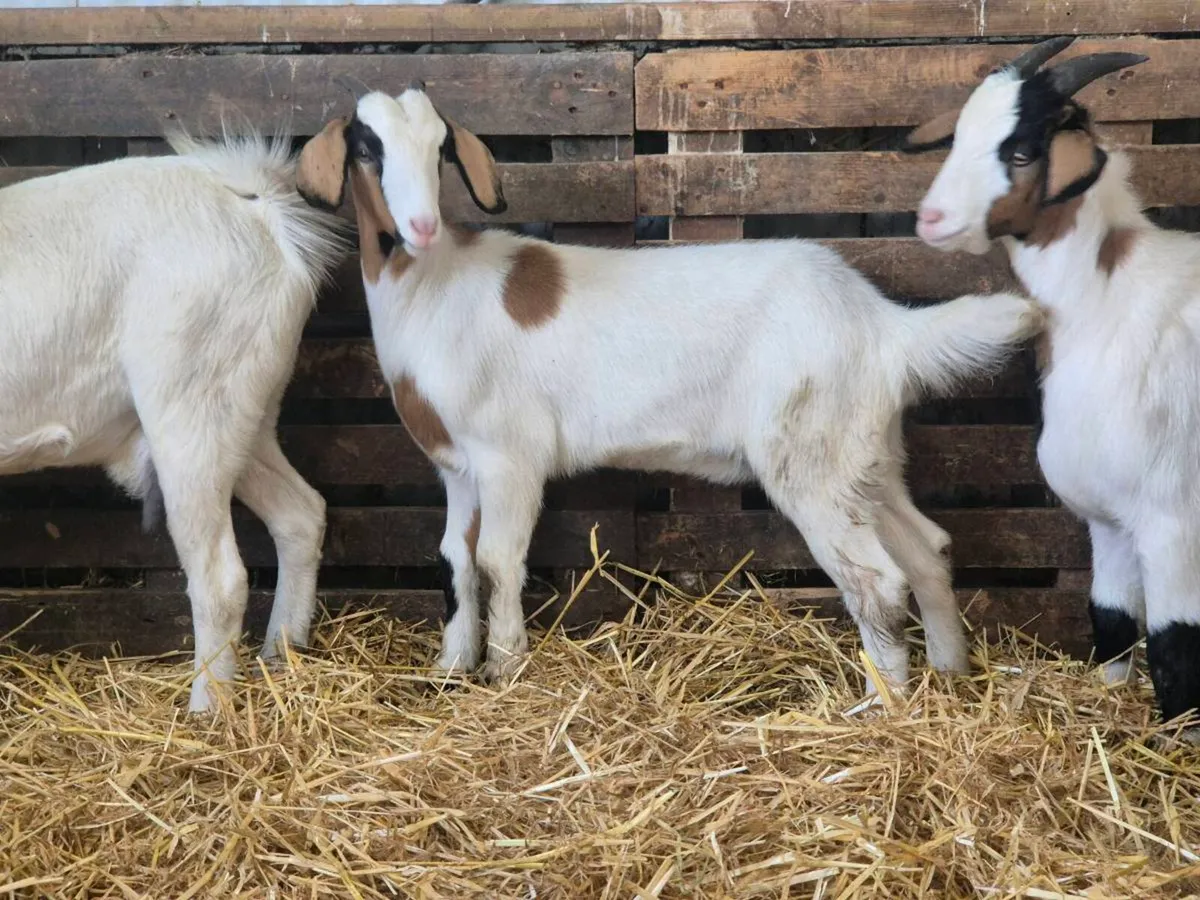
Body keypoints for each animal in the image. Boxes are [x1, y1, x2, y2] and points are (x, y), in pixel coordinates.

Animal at [0, 130, 347, 712]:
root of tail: (258, 210)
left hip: (189, 406)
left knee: (221, 577)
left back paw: (205, 711)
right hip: (244, 405)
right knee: (300, 513)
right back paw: (282, 654)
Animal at [296, 85, 1042, 694]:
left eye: (440, 149)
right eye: (367, 148)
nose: (420, 228)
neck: (434, 285)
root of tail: (883, 326)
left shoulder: (510, 456)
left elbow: (497, 560)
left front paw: (507, 669)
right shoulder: (455, 464)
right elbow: (454, 559)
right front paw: (454, 666)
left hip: (810, 457)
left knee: (877, 578)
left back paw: (882, 706)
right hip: (864, 453)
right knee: (927, 549)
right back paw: (949, 675)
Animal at [906, 38, 1200, 736]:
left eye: (1019, 152)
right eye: (959, 135)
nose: (931, 218)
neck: (1108, 305)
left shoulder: (1172, 519)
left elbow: (1175, 649)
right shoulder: (1108, 519)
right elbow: (1112, 621)